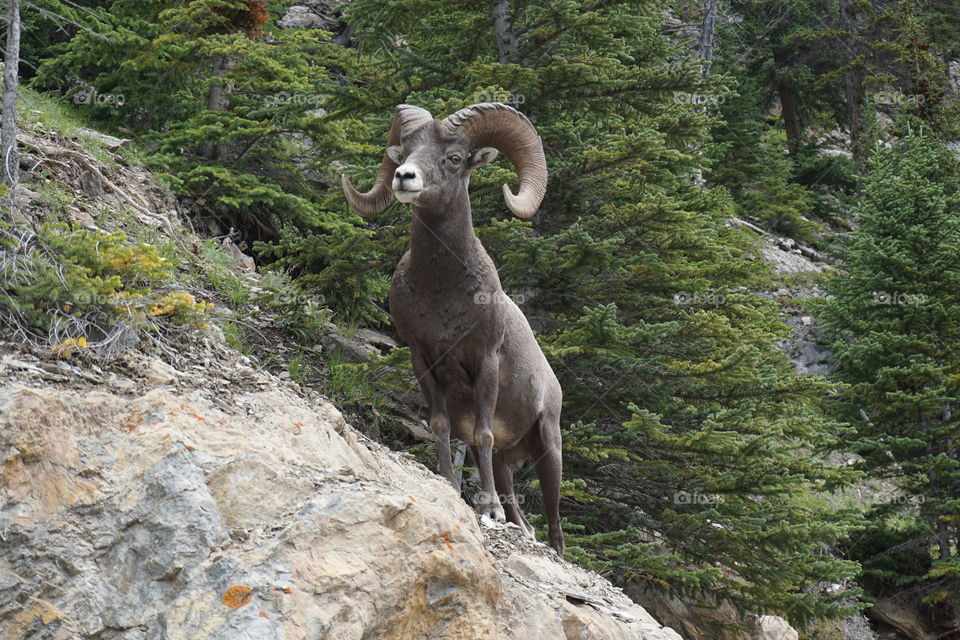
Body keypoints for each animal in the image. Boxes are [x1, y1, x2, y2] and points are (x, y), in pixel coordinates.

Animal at [342, 102, 564, 552]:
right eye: (406, 150)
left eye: (455, 158)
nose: (404, 176)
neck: (443, 294)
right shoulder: (423, 360)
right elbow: (441, 427)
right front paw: (449, 485)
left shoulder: (485, 362)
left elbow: (482, 432)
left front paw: (488, 509)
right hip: (510, 462)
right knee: (516, 502)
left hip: (549, 447)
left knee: (555, 526)